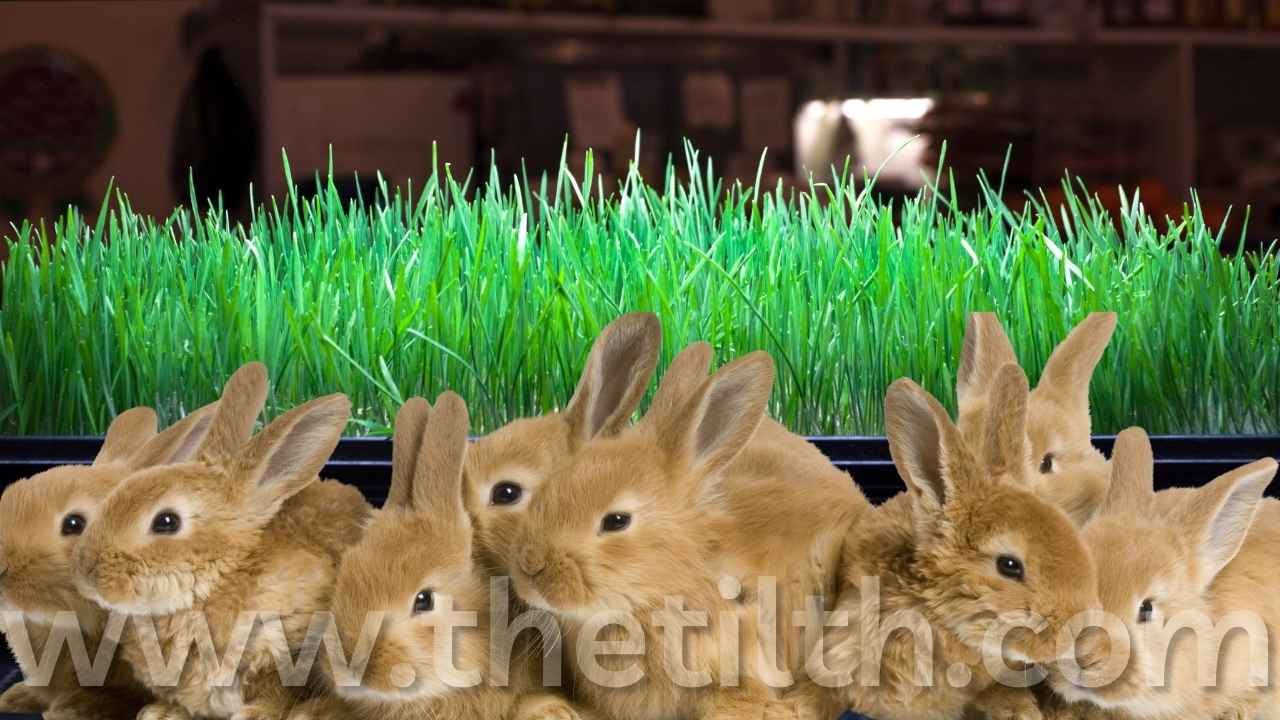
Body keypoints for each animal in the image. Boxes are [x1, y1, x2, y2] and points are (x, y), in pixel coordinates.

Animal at [69, 362, 372, 720]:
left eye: (166, 522)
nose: (87, 573)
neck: (217, 582)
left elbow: (276, 693)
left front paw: (254, 715)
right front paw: (159, 713)